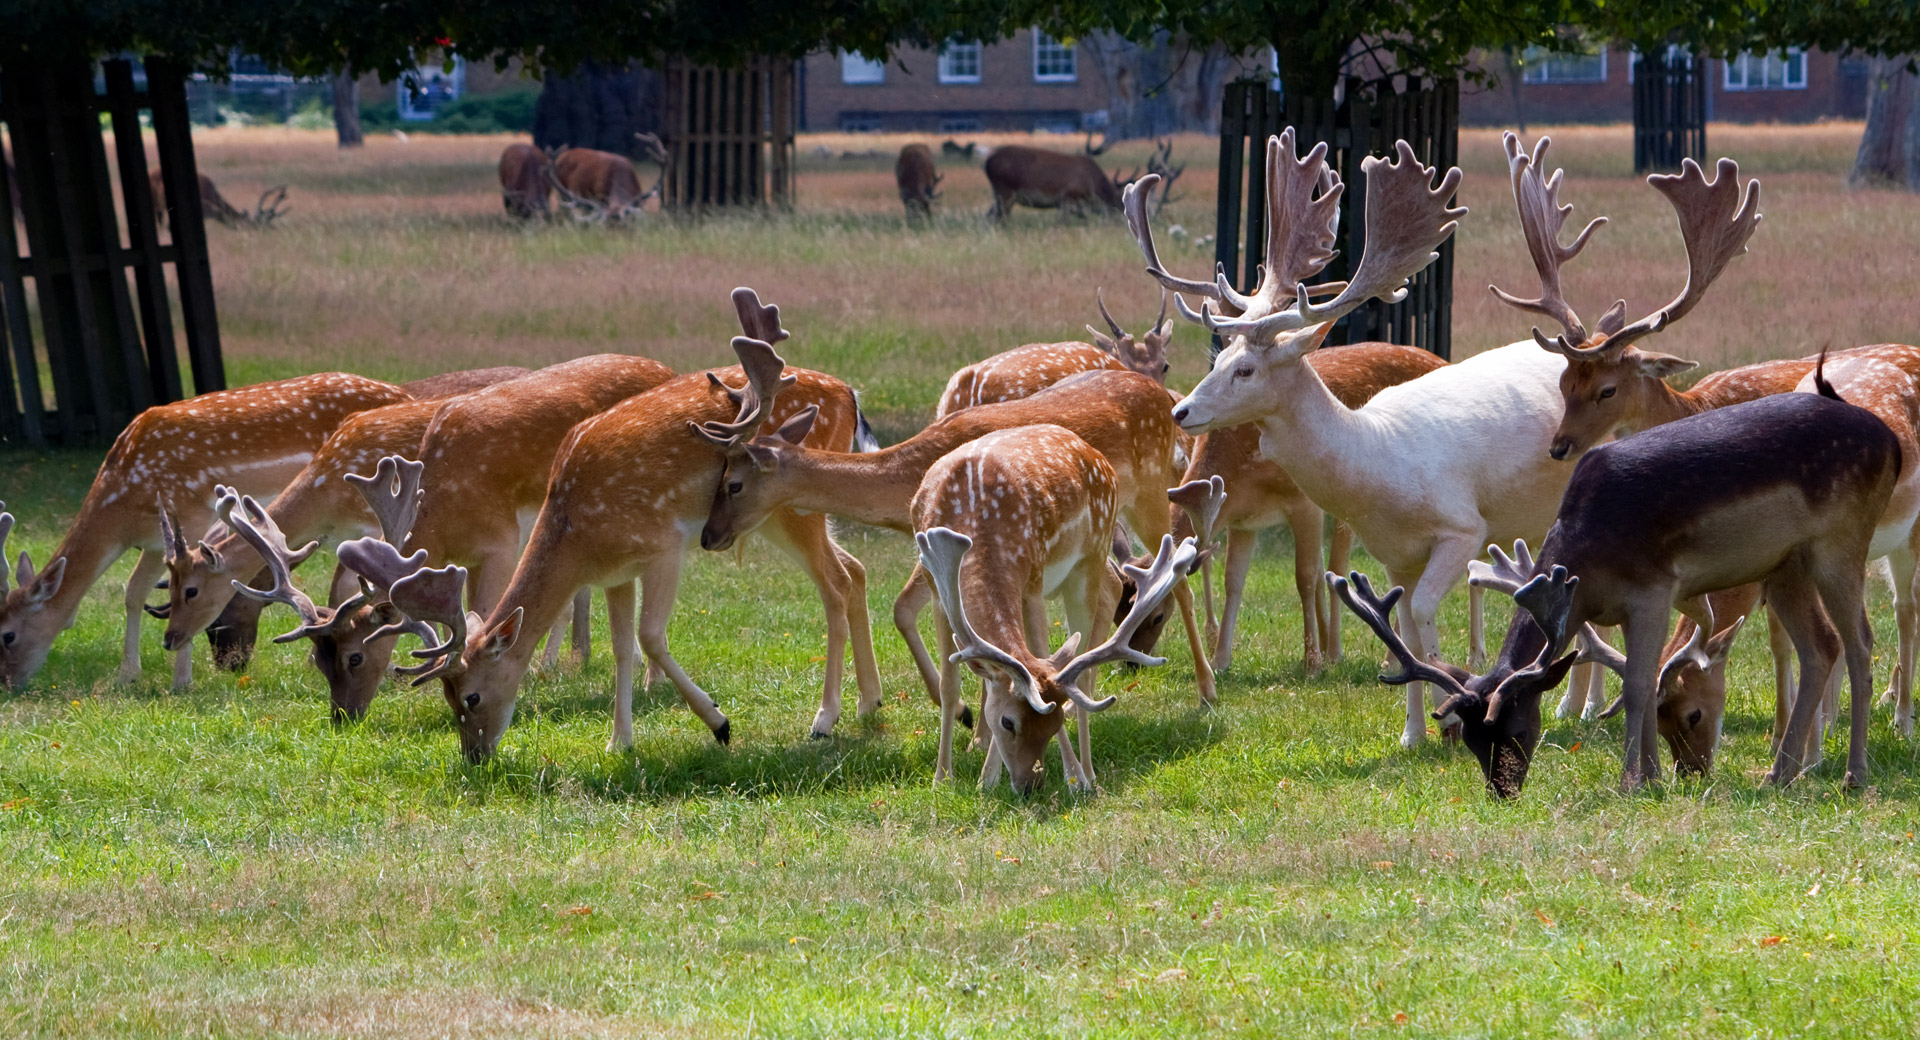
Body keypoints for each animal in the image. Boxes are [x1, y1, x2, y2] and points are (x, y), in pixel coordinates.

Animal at [0, 370, 408, 690]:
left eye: (8, 635)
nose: (7, 683)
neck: (124, 503)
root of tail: (403, 394)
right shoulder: (153, 541)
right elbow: (133, 593)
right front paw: (128, 675)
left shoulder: (191, 514)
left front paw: (181, 680)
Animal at [910, 427, 1198, 794]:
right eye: (1007, 721)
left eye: (1056, 720)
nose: (1031, 783)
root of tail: (1093, 451)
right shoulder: (936, 588)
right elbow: (951, 685)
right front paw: (948, 778)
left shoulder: (1032, 579)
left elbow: (1037, 659)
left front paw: (1070, 775)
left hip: (1090, 557)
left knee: (1086, 669)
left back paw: (1086, 774)